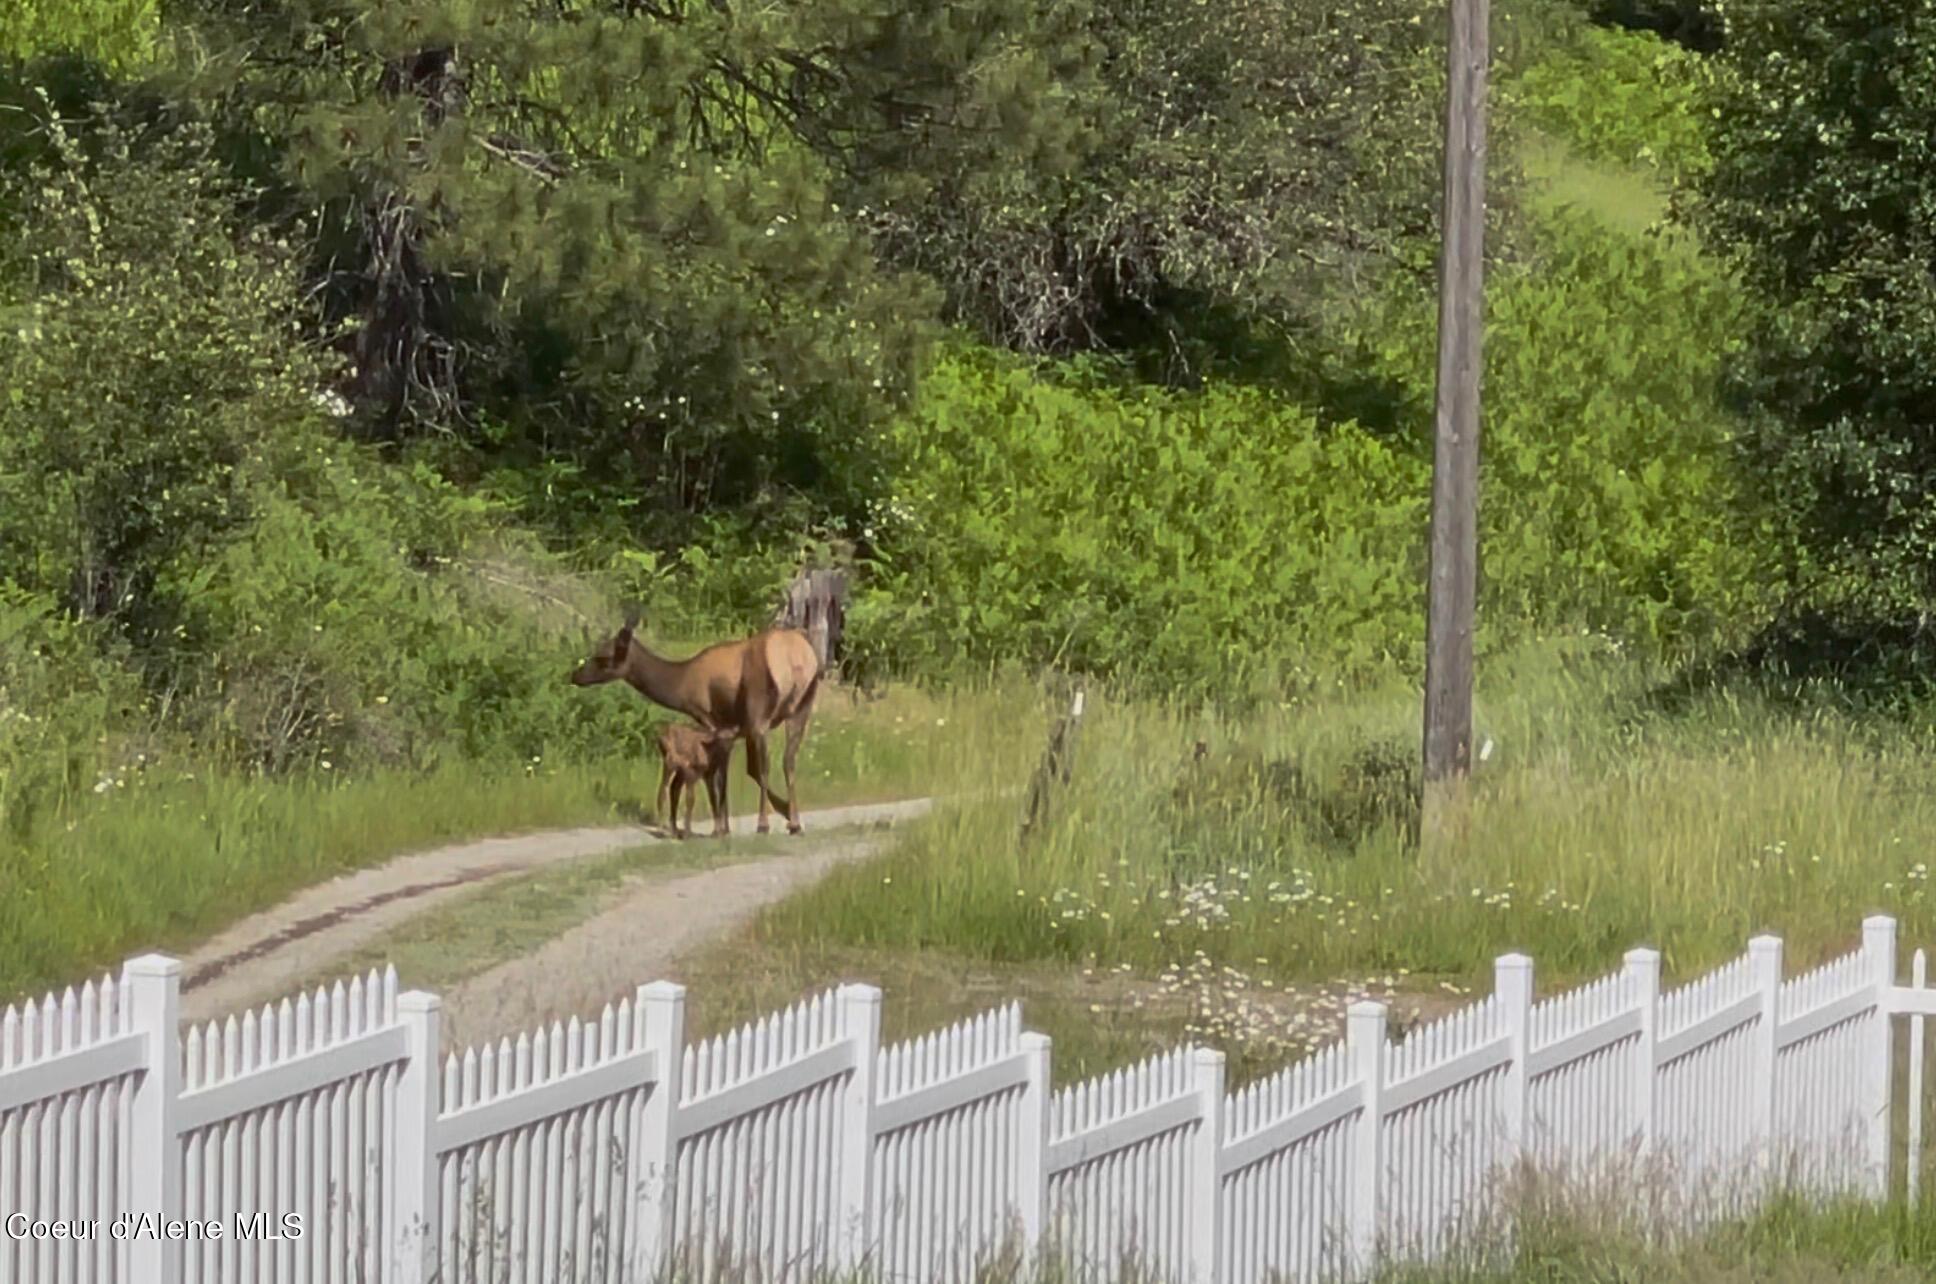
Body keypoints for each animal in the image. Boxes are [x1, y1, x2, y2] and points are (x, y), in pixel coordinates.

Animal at [570, 613, 821, 835]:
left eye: (603, 657)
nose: (576, 675)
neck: (682, 686)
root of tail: (797, 658)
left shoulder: (712, 721)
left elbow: (721, 774)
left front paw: (721, 827)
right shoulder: (733, 731)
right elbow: (732, 773)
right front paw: (730, 824)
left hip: (758, 713)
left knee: (766, 765)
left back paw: (764, 824)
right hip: (800, 710)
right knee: (788, 761)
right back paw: (795, 822)